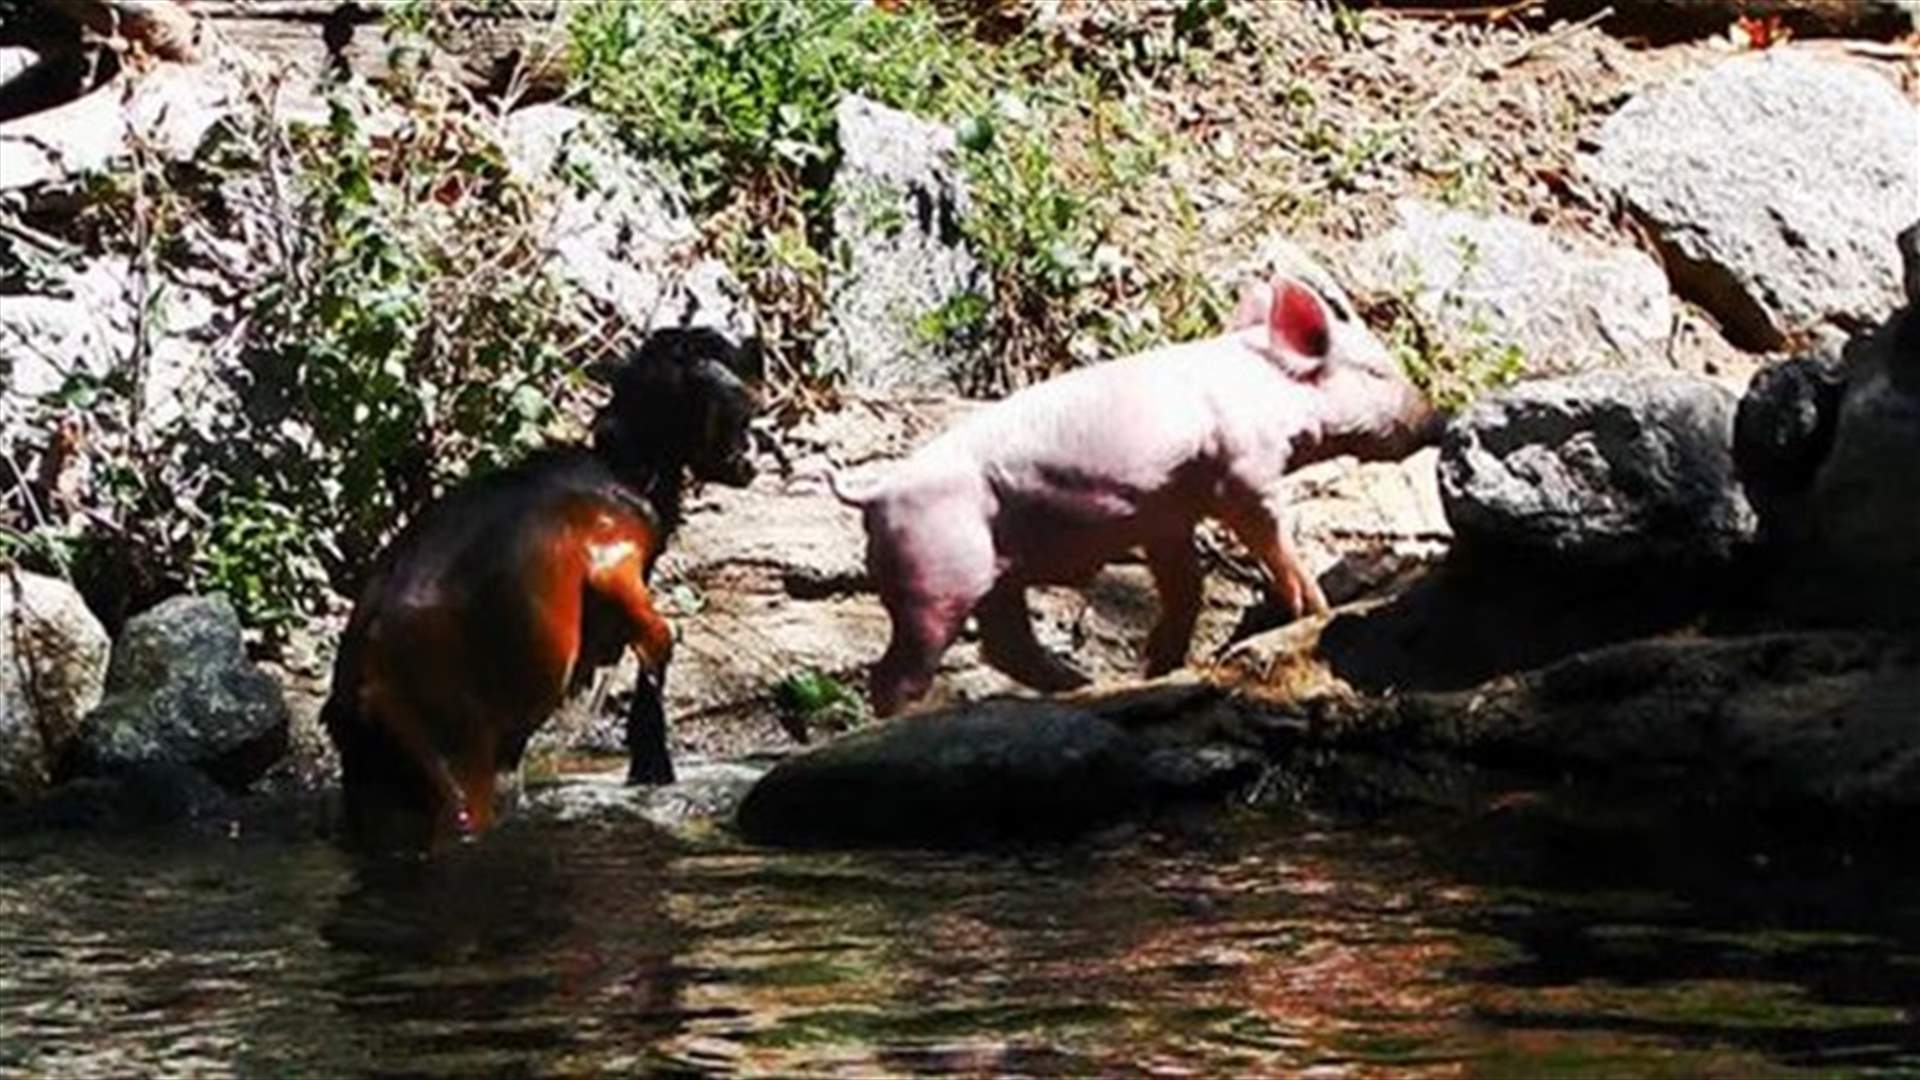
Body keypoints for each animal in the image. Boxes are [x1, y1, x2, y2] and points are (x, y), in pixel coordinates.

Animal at [830, 271, 1440, 716]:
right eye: (1378, 372)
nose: (1437, 418)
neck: (1269, 390)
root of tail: (876, 492)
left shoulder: (1167, 514)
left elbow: (1186, 588)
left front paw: (1158, 670)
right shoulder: (1245, 471)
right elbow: (1273, 537)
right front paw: (1313, 608)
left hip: (994, 572)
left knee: (1004, 643)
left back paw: (1081, 685)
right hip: (936, 570)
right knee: (900, 670)